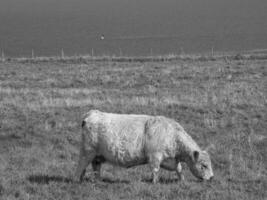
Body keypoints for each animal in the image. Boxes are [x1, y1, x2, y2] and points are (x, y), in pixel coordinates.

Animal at [74, 109, 215, 183]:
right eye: (204, 165)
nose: (212, 177)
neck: (172, 134)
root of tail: (93, 113)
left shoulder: (170, 159)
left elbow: (179, 169)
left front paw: (182, 180)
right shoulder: (155, 156)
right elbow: (155, 170)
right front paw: (155, 182)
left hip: (97, 155)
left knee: (96, 167)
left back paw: (98, 180)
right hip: (87, 151)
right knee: (81, 165)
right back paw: (76, 180)